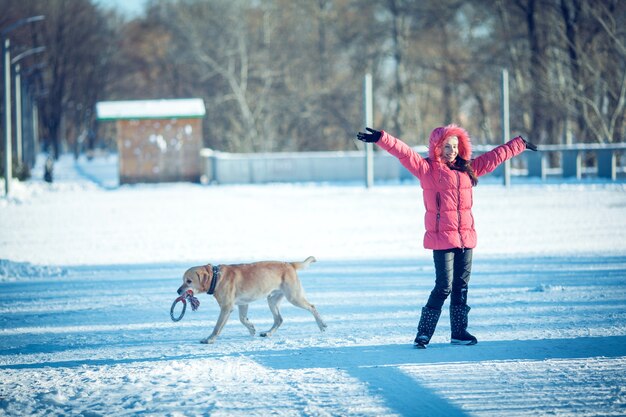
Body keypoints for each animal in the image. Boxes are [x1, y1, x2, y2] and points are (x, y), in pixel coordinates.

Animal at [173, 255, 324, 342]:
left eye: (189, 281)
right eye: (183, 280)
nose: (178, 290)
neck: (216, 278)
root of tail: (290, 264)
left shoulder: (226, 308)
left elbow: (217, 327)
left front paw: (209, 339)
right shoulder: (242, 304)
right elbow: (243, 319)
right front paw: (252, 329)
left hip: (294, 296)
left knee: (312, 307)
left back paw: (322, 325)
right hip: (272, 300)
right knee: (279, 319)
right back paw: (267, 333)